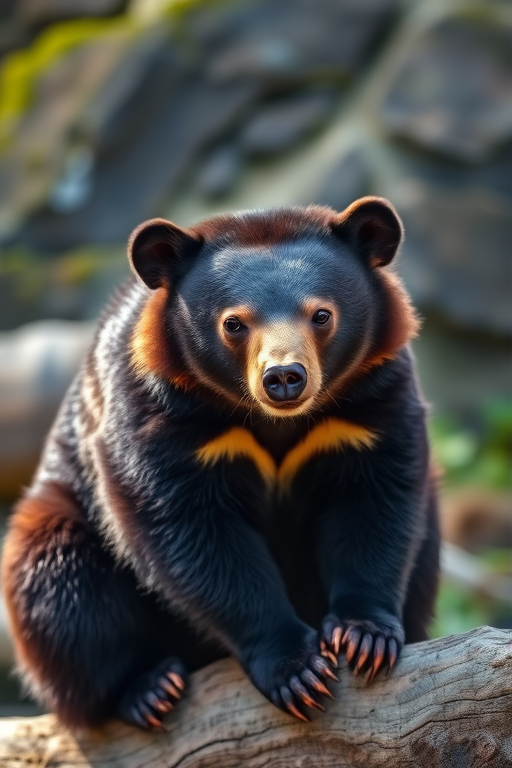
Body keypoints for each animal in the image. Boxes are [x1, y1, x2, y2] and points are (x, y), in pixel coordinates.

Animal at [1, 197, 439, 731]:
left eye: (321, 314)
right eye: (234, 323)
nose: (284, 378)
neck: (275, 423)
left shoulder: (372, 400)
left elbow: (375, 501)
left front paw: (364, 639)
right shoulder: (158, 412)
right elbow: (190, 529)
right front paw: (297, 669)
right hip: (58, 513)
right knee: (62, 584)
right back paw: (148, 689)